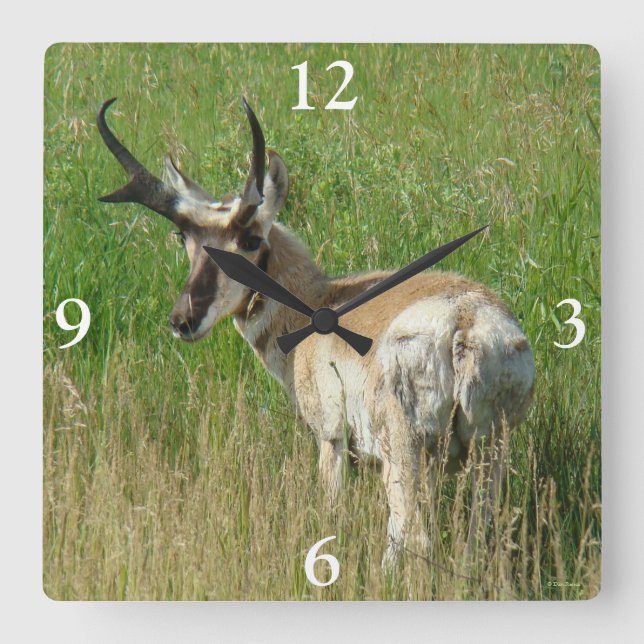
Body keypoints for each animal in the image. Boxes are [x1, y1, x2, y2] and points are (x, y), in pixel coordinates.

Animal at [97, 97, 535, 565]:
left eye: (250, 239)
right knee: (478, 536)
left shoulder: (332, 441)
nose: (183, 320)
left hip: (408, 454)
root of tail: (463, 323)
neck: (321, 299)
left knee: (411, 535)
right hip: (489, 453)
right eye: (184, 237)